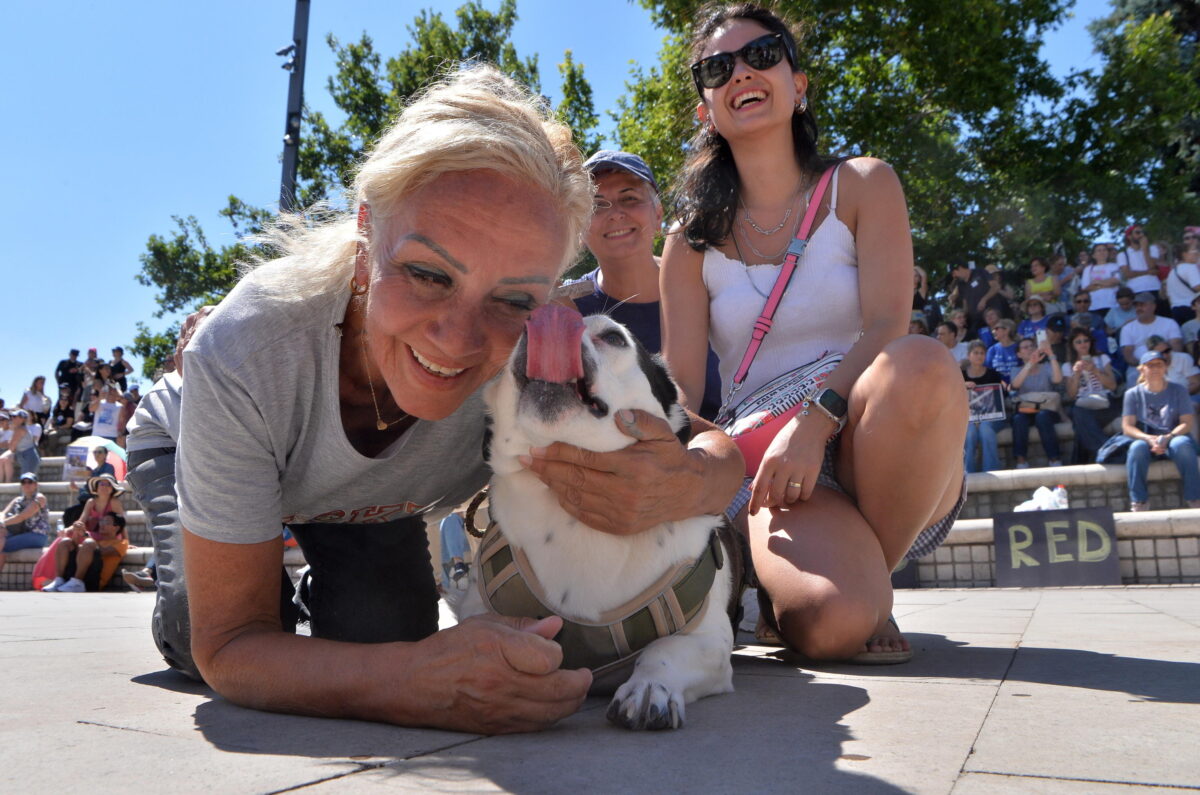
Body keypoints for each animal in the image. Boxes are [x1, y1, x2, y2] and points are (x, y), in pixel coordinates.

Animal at [456, 305, 739, 734]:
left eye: (614, 338)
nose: (549, 318)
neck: (572, 516)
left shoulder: (710, 641)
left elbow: (665, 649)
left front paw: (649, 688)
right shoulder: (479, 615)